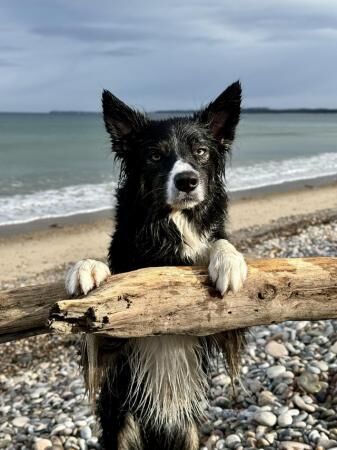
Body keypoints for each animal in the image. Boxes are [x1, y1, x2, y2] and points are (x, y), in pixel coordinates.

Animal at [65, 81, 248, 450]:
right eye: (154, 156)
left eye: (201, 152)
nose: (187, 181)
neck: (169, 226)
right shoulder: (113, 340)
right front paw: (87, 268)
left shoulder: (224, 326)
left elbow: (219, 243)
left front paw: (230, 261)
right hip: (123, 422)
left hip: (188, 433)